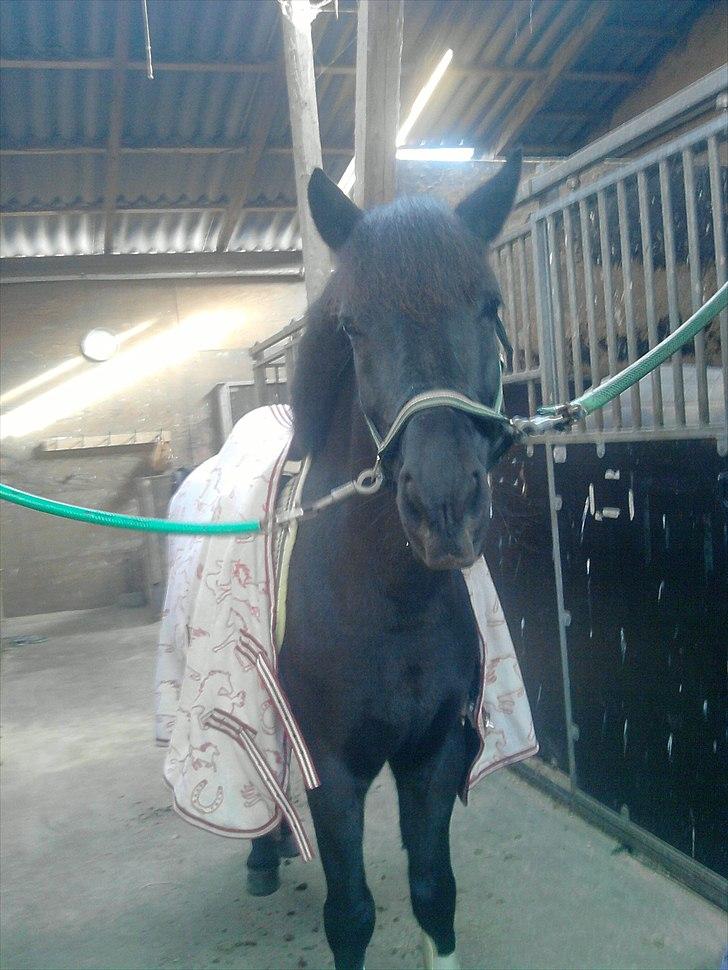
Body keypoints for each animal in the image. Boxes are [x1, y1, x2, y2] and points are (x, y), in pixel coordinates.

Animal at [246, 153, 524, 970]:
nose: (445, 507)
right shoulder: (332, 773)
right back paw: (261, 857)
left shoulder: (434, 755)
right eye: (353, 326)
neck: (389, 602)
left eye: (489, 306)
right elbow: (351, 914)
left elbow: (435, 892)